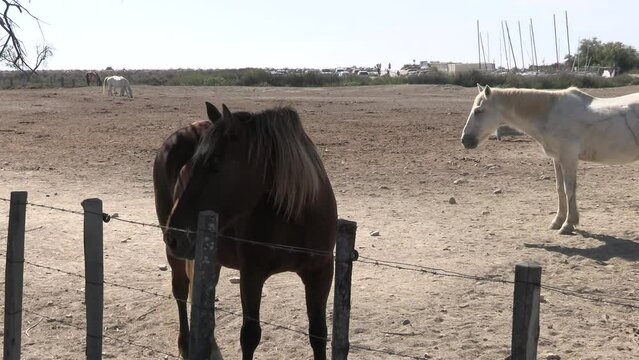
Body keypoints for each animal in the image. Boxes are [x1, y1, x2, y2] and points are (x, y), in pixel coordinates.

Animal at [154, 102, 338, 358]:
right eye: (189, 166)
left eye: (215, 163)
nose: (173, 237)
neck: (295, 215)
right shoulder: (251, 274)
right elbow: (250, 336)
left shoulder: (321, 272)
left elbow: (318, 333)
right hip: (178, 256)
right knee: (180, 289)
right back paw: (187, 344)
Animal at [462, 85, 639, 235]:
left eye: (479, 110)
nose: (465, 140)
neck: (551, 113)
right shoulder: (557, 158)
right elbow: (560, 188)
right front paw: (558, 221)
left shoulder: (569, 157)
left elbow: (570, 189)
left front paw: (568, 224)